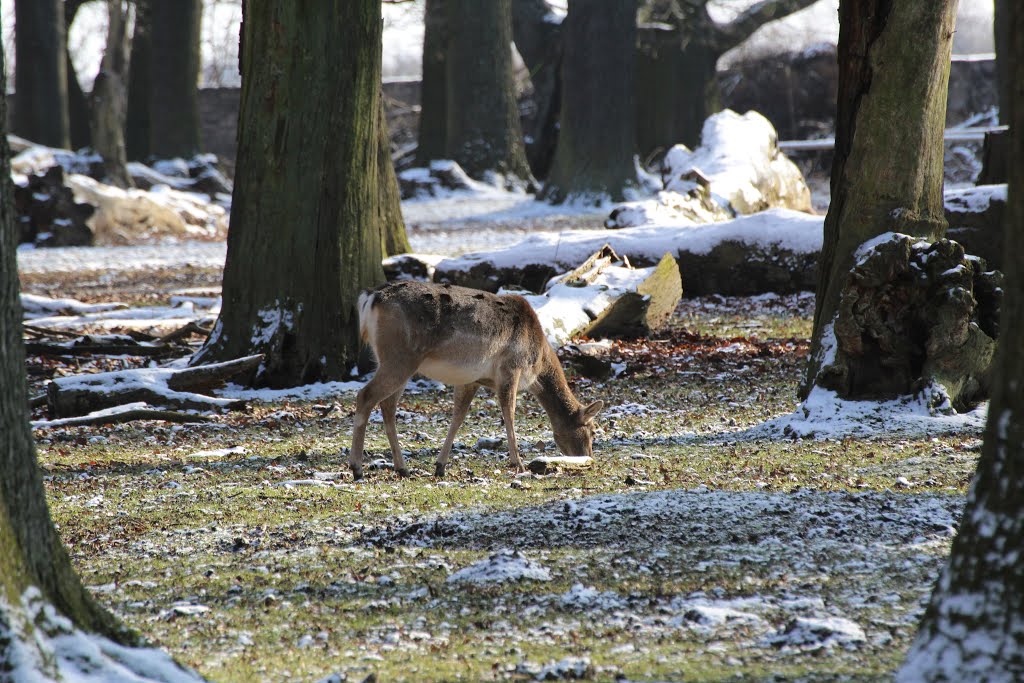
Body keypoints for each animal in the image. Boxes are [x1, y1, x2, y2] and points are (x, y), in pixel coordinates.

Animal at [348, 280, 602, 479]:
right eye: (592, 430)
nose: (589, 459)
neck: (537, 365)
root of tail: (370, 297)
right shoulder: (510, 368)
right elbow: (509, 412)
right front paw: (518, 464)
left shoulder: (471, 380)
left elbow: (458, 416)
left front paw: (440, 466)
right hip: (400, 357)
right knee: (365, 395)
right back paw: (357, 467)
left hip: (393, 360)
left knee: (387, 405)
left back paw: (402, 468)